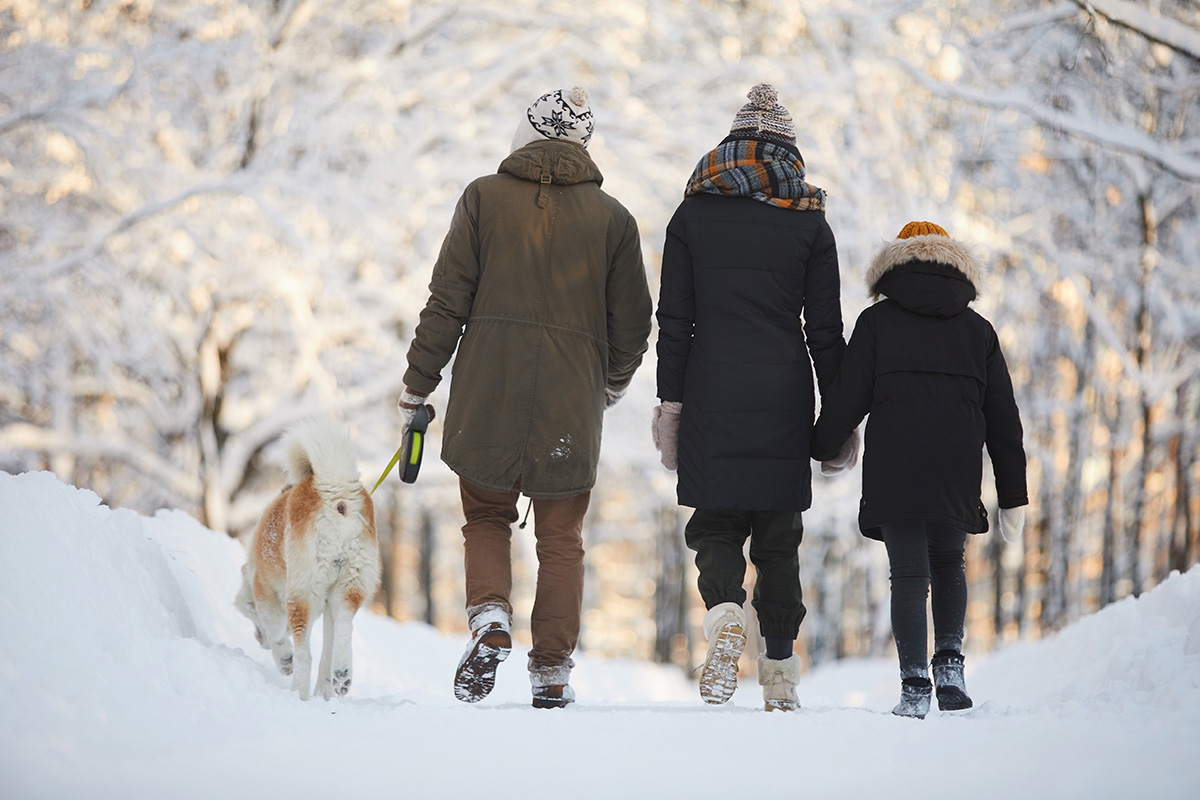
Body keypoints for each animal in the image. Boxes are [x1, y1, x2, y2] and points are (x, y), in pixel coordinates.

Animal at [235, 419, 379, 700]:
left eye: (250, 614)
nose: (259, 640)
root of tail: (333, 492)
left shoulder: (266, 595)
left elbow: (277, 631)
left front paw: (283, 659)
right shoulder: (328, 605)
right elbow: (327, 649)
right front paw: (325, 690)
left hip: (302, 594)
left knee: (305, 654)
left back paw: (298, 692)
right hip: (350, 583)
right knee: (344, 625)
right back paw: (342, 674)